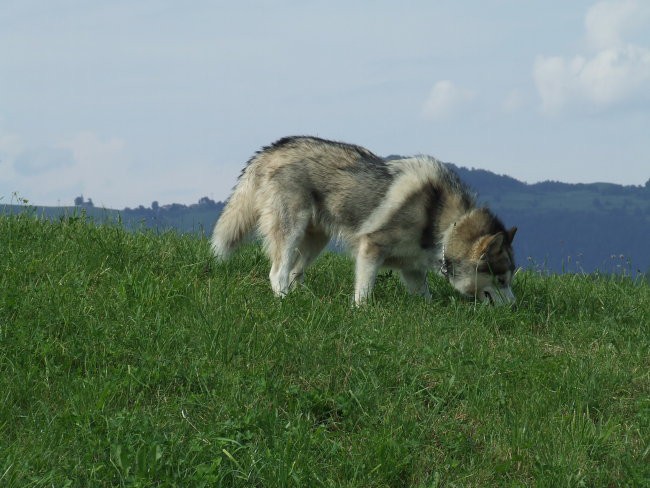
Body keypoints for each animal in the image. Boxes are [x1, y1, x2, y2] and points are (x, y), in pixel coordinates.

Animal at [210, 136, 512, 304]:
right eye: (501, 280)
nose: (513, 308)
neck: (445, 224)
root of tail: (272, 148)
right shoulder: (371, 248)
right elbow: (364, 292)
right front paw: (361, 312)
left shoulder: (411, 268)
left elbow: (424, 296)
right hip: (291, 230)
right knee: (278, 272)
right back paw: (285, 302)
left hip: (316, 239)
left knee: (296, 272)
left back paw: (304, 300)